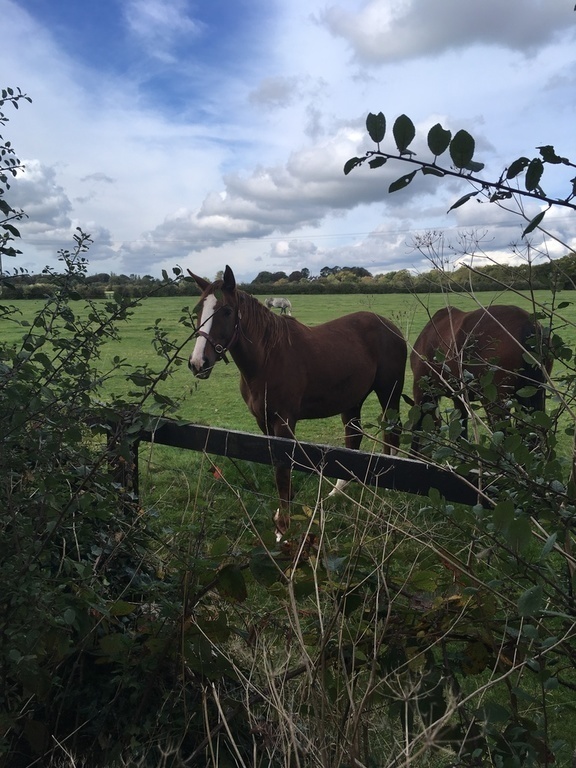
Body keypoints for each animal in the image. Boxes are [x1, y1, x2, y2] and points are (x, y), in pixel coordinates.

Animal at [188, 265, 407, 536]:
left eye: (227, 311)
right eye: (199, 309)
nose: (198, 362)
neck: (268, 358)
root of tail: (390, 327)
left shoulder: (284, 421)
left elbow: (283, 470)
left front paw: (284, 526)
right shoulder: (264, 421)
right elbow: (277, 467)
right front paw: (284, 511)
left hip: (389, 392)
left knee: (391, 430)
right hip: (352, 400)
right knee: (353, 435)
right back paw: (338, 490)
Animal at [410, 304, 552, 453]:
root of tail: (527, 323)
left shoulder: (421, 389)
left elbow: (417, 426)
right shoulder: (459, 399)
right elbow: (461, 432)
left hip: (495, 402)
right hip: (536, 394)